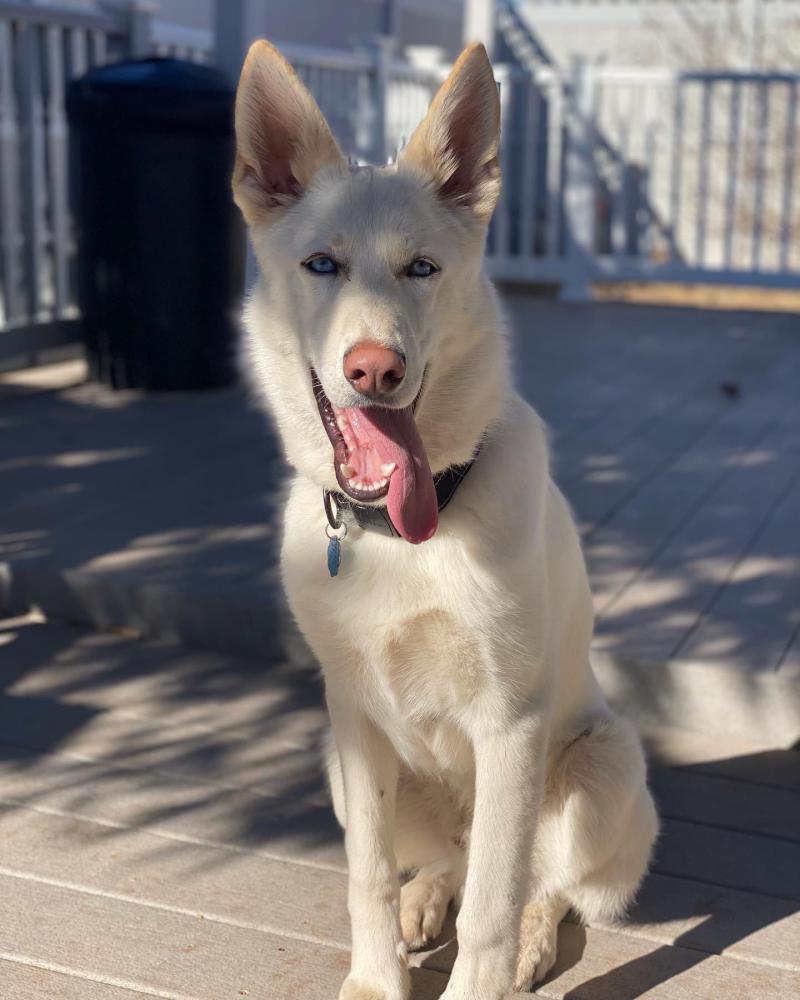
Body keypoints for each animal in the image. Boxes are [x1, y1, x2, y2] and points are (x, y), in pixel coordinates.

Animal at [233, 39, 658, 1000]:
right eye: (322, 266)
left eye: (422, 269)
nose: (375, 370)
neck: (403, 536)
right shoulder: (351, 719)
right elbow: (366, 876)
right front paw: (376, 976)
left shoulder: (510, 726)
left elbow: (495, 905)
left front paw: (483, 974)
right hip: (347, 770)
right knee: (449, 864)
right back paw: (424, 897)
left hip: (600, 768)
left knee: (543, 881)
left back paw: (531, 939)